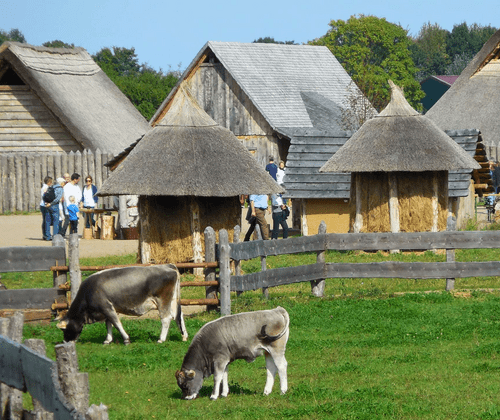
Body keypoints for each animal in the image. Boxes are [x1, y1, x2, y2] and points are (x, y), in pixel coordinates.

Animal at [57, 264, 188, 345]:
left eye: (64, 330)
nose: (64, 342)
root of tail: (167, 266)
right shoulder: (108, 309)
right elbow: (109, 324)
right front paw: (108, 340)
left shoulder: (107, 307)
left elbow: (116, 323)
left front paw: (126, 339)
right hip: (173, 301)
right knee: (179, 316)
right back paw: (184, 336)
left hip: (162, 300)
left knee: (166, 318)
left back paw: (161, 339)